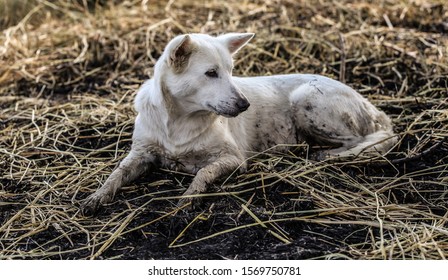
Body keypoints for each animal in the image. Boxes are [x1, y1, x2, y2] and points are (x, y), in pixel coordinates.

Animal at [80, 32, 396, 214]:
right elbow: (116, 174)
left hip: (308, 100)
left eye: (231, 70)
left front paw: (189, 196)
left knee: (361, 143)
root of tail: (374, 109)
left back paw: (323, 155)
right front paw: (96, 196)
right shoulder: (141, 153)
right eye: (211, 73)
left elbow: (203, 172)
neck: (178, 121)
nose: (245, 105)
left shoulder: (233, 159)